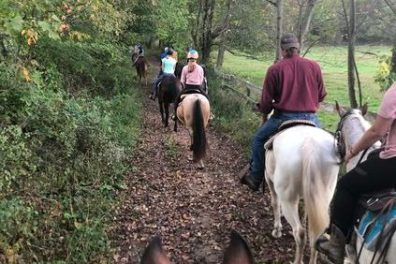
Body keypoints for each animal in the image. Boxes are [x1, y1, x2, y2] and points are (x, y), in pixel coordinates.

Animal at [264, 124, 338, 264]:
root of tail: (311, 148)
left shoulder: (269, 179)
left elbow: (275, 203)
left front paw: (277, 230)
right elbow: (305, 214)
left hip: (288, 200)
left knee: (299, 233)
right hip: (324, 197)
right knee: (316, 236)